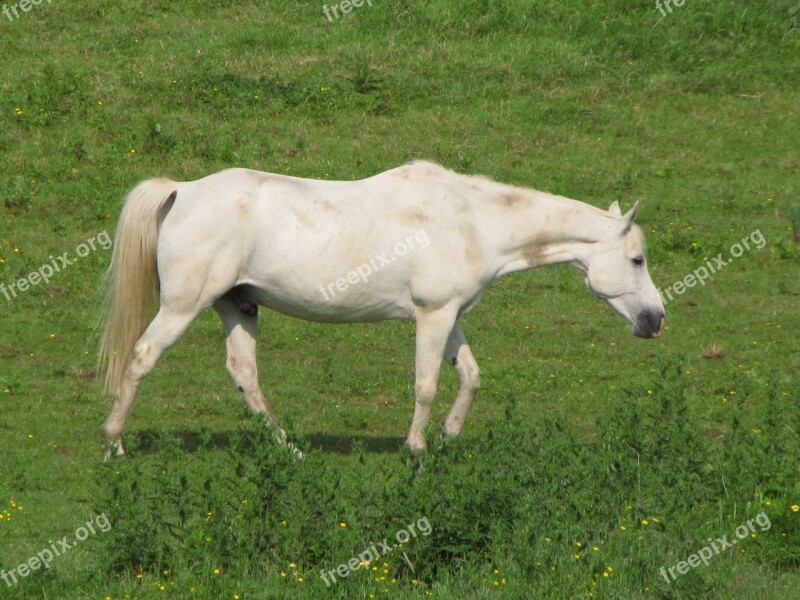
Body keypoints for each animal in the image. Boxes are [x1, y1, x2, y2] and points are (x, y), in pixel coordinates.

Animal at [97, 161, 664, 454]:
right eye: (637, 259)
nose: (656, 320)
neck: (471, 221)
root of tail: (182, 191)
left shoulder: (449, 316)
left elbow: (471, 377)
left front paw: (449, 437)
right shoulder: (432, 315)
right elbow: (427, 384)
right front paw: (416, 450)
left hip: (238, 307)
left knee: (244, 375)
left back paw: (291, 449)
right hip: (182, 307)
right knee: (141, 357)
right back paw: (115, 443)